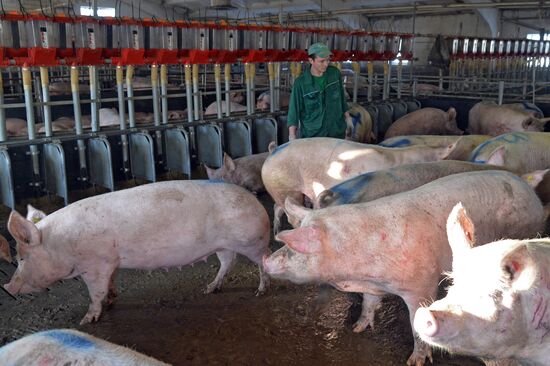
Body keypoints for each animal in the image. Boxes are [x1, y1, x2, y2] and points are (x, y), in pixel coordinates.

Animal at [2, 180, 272, 324]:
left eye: (22, 258)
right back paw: (209, 289)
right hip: (223, 245)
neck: (61, 245)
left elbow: (95, 293)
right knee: (228, 262)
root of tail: (255, 201)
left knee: (264, 259)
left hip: (252, 241)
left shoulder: (95, 266)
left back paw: (260, 291)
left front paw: (87, 320)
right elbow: (110, 285)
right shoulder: (110, 263)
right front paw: (112, 301)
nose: (7, 286)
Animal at [264, 136, 462, 233]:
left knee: (277, 208)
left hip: (281, 191)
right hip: (285, 186)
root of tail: (273, 150)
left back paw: (276, 231)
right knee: (290, 215)